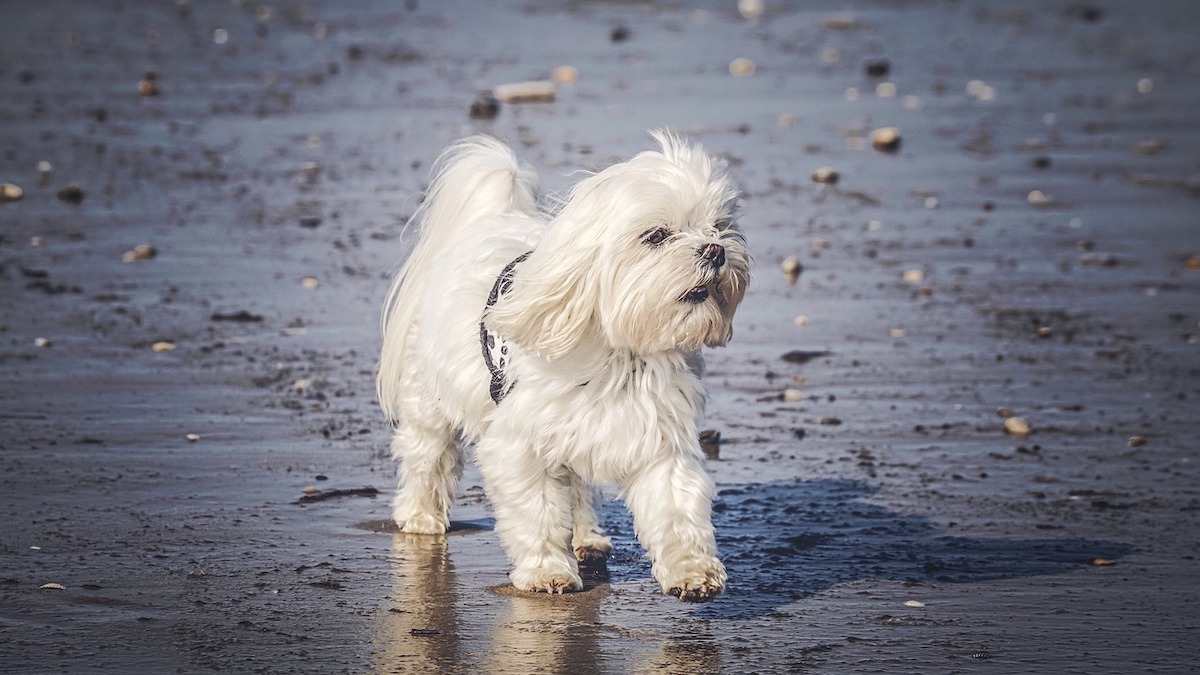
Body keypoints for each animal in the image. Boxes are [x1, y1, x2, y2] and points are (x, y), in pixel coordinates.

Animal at [376, 131, 748, 598]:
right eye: (657, 235)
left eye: (721, 227)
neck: (622, 353)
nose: (716, 251)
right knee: (427, 456)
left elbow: (677, 509)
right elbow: (537, 512)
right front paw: (546, 570)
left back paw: (589, 537)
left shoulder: (661, 438)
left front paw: (693, 572)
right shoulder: (520, 446)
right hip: (430, 399)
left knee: (579, 486)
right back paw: (421, 516)